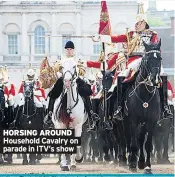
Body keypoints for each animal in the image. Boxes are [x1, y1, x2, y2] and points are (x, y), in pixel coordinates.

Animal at [121, 39, 163, 173]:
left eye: (159, 58)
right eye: (147, 59)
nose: (155, 80)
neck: (145, 95)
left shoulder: (151, 121)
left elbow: (147, 144)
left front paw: (147, 166)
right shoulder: (133, 120)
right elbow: (134, 142)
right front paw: (132, 164)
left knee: (139, 139)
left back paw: (141, 162)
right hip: (126, 121)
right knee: (129, 139)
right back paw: (131, 160)